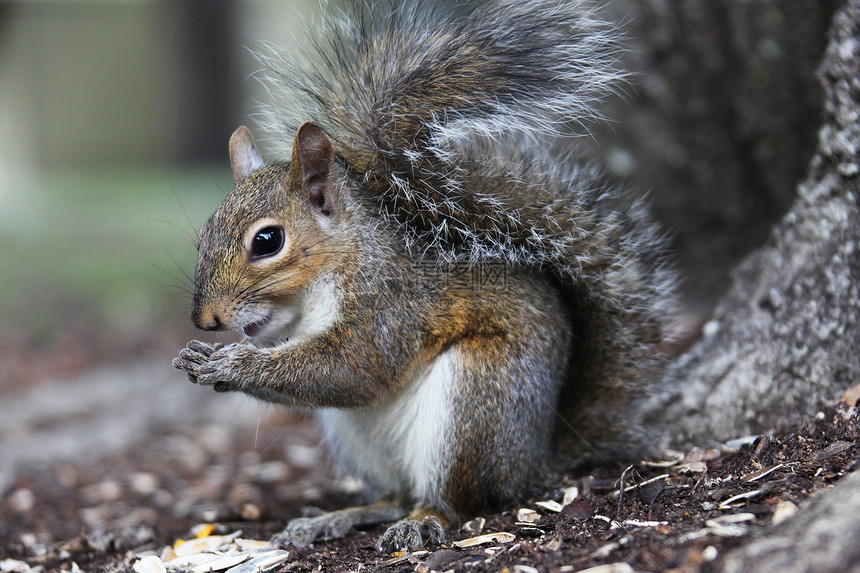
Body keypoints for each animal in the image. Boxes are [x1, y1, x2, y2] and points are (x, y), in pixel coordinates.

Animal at [171, 0, 676, 556]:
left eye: (267, 241)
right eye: (204, 235)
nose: (205, 320)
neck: (322, 282)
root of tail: (536, 461)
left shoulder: (390, 304)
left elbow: (352, 368)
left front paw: (233, 364)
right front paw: (198, 358)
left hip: (477, 401)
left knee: (456, 501)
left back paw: (423, 519)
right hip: (360, 441)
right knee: (395, 494)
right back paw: (339, 517)